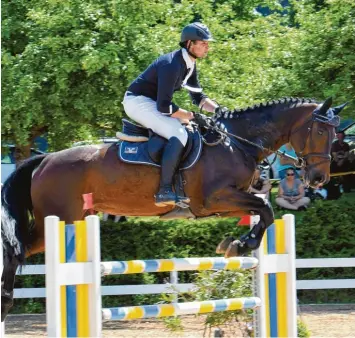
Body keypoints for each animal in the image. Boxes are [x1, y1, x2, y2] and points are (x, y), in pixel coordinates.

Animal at [0, 96, 344, 320]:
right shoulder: (215, 198)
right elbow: (265, 207)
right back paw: (5, 301)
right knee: (16, 251)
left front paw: (235, 243)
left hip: (72, 219)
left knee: (19, 249)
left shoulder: (219, 206)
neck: (236, 141)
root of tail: (44, 159)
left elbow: (262, 212)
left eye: (336, 134)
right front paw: (241, 244)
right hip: (59, 219)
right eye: (319, 131)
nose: (318, 179)